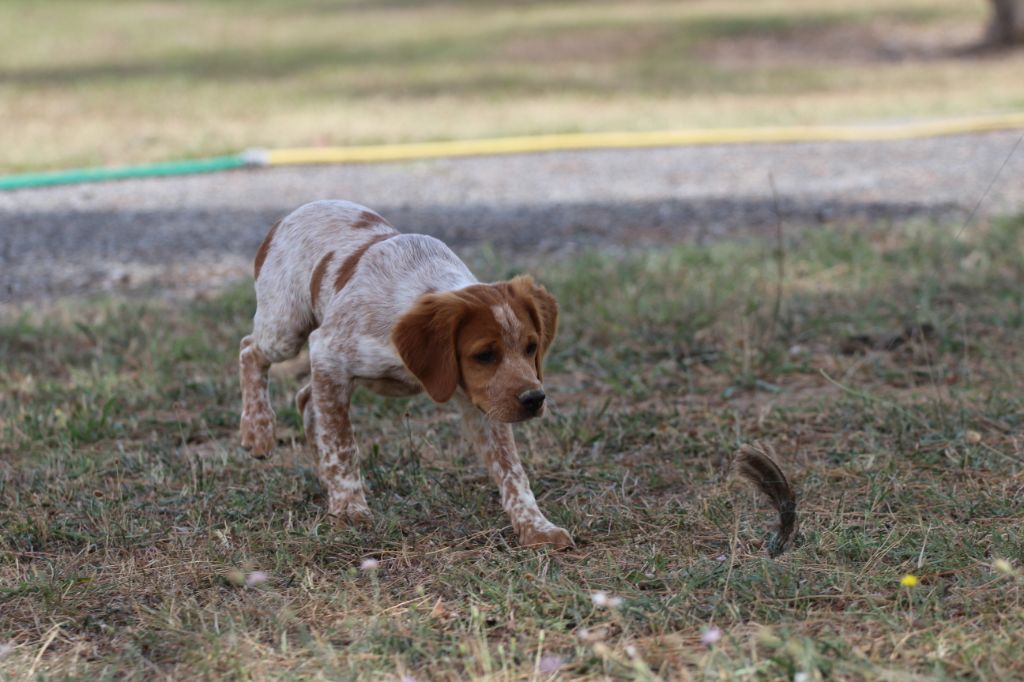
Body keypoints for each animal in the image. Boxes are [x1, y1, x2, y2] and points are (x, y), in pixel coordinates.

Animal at [240, 199, 577, 548]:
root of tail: (288, 216)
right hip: (286, 329)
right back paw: (258, 431)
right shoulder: (328, 352)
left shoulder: (482, 402)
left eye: (531, 347)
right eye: (484, 355)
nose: (534, 399)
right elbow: (342, 444)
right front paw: (350, 509)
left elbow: (511, 469)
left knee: (306, 398)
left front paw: (536, 526)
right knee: (250, 350)